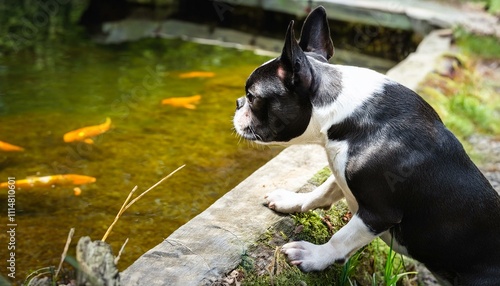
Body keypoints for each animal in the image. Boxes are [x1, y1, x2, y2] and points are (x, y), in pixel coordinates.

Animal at [232, 5, 500, 284]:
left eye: (252, 97)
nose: (238, 102)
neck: (341, 114)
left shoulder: (378, 213)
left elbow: (342, 239)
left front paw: (315, 256)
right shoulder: (342, 167)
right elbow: (325, 188)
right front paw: (293, 200)